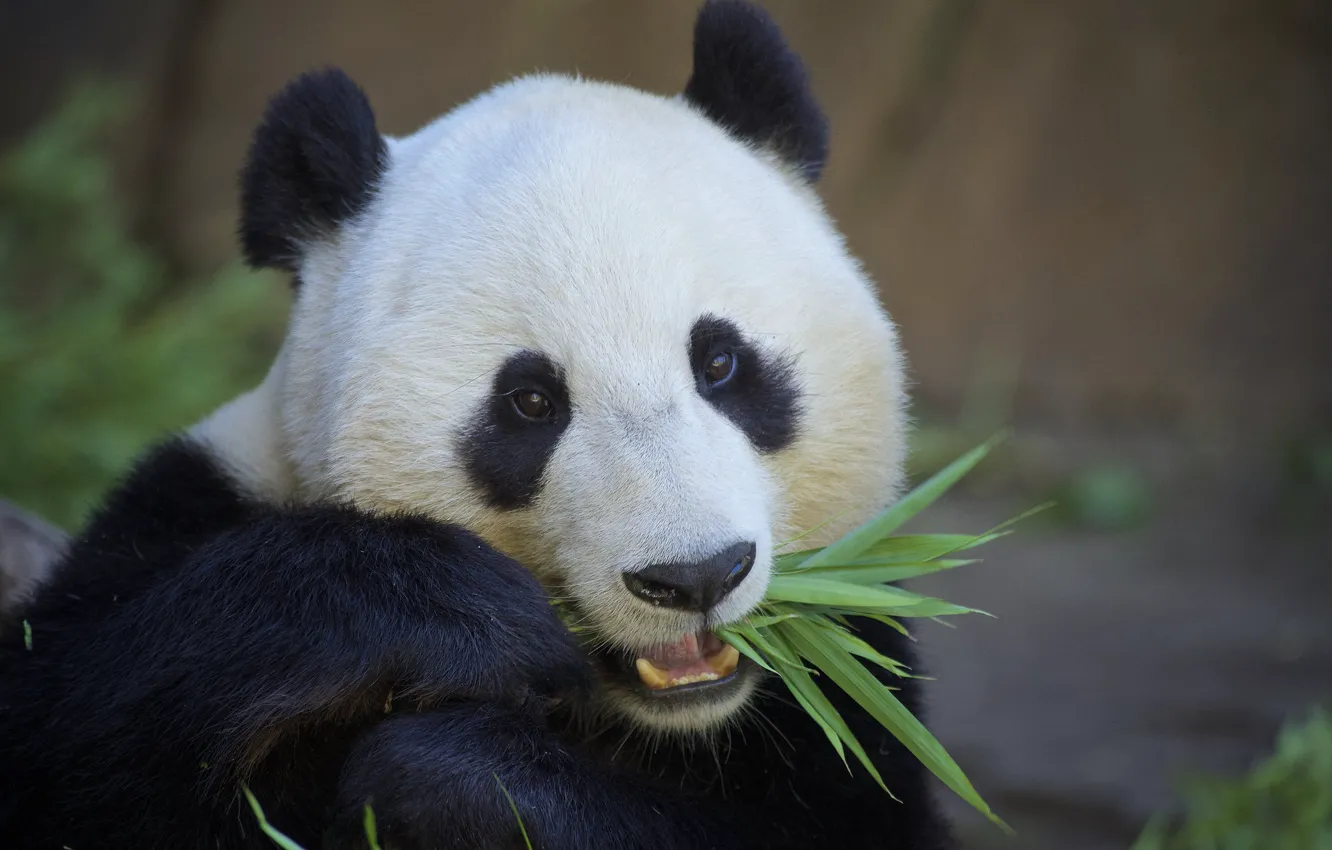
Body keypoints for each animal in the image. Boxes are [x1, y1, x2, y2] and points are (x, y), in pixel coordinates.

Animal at [0, 2, 955, 848]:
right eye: (531, 402)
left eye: (720, 364)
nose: (692, 578)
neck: (658, 717)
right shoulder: (201, 504)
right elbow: (68, 718)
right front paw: (469, 616)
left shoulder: (851, 677)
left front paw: (446, 777)